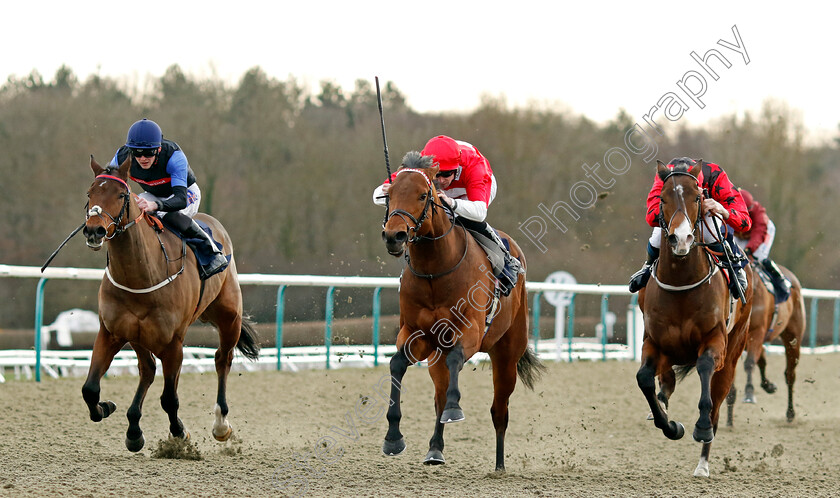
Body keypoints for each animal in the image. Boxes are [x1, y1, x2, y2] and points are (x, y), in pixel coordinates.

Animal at [83, 156, 260, 452]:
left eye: (121, 195)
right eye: (89, 194)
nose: (94, 230)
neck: (141, 275)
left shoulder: (173, 343)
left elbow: (169, 398)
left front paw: (179, 433)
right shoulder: (111, 332)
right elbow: (90, 389)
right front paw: (107, 408)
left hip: (229, 317)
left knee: (222, 359)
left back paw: (221, 424)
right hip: (140, 336)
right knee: (147, 370)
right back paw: (133, 429)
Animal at [378, 152, 540, 470]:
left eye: (423, 194)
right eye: (389, 194)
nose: (394, 236)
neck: (435, 270)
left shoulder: (471, 331)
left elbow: (456, 360)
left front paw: (456, 407)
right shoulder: (418, 333)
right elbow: (396, 364)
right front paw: (393, 437)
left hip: (507, 355)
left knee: (499, 410)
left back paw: (499, 466)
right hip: (436, 357)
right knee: (439, 397)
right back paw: (435, 449)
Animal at [636, 160, 756, 478]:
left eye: (698, 197)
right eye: (662, 198)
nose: (681, 239)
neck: (682, 283)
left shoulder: (715, 340)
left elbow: (704, 371)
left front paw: (700, 428)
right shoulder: (654, 342)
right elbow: (644, 378)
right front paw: (670, 424)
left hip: (734, 351)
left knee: (717, 403)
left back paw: (703, 461)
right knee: (664, 383)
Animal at [740, 260, 808, 420]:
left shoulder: (757, 331)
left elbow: (749, 362)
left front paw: (749, 393)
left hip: (793, 337)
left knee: (790, 374)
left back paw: (790, 412)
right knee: (763, 356)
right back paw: (769, 386)